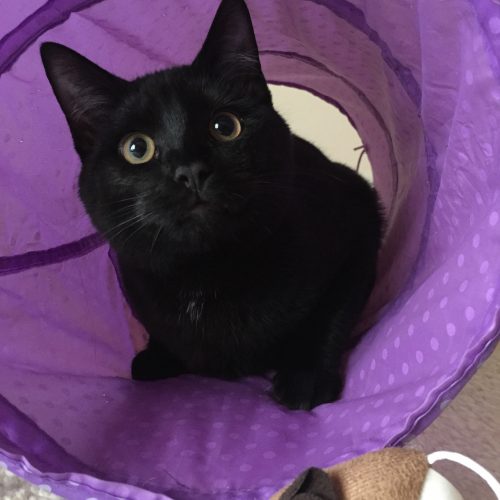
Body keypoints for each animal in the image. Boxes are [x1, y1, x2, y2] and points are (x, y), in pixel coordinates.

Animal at [40, 0, 383, 410]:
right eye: (137, 148)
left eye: (225, 126)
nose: (190, 171)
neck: (205, 272)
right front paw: (156, 357)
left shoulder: (359, 216)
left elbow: (334, 308)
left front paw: (307, 376)